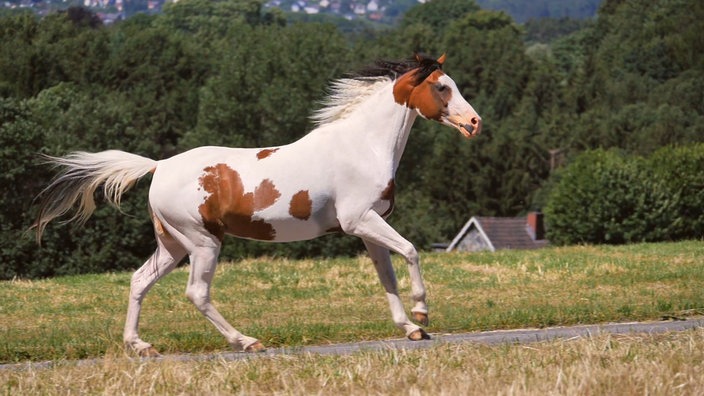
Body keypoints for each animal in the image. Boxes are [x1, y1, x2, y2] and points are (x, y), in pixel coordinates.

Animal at [34, 52, 484, 356]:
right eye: (442, 86)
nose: (474, 122)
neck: (362, 146)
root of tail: (158, 167)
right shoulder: (361, 220)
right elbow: (410, 251)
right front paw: (422, 314)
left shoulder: (367, 229)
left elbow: (386, 276)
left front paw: (410, 328)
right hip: (202, 243)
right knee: (197, 293)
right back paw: (247, 341)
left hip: (173, 243)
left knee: (139, 281)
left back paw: (140, 346)